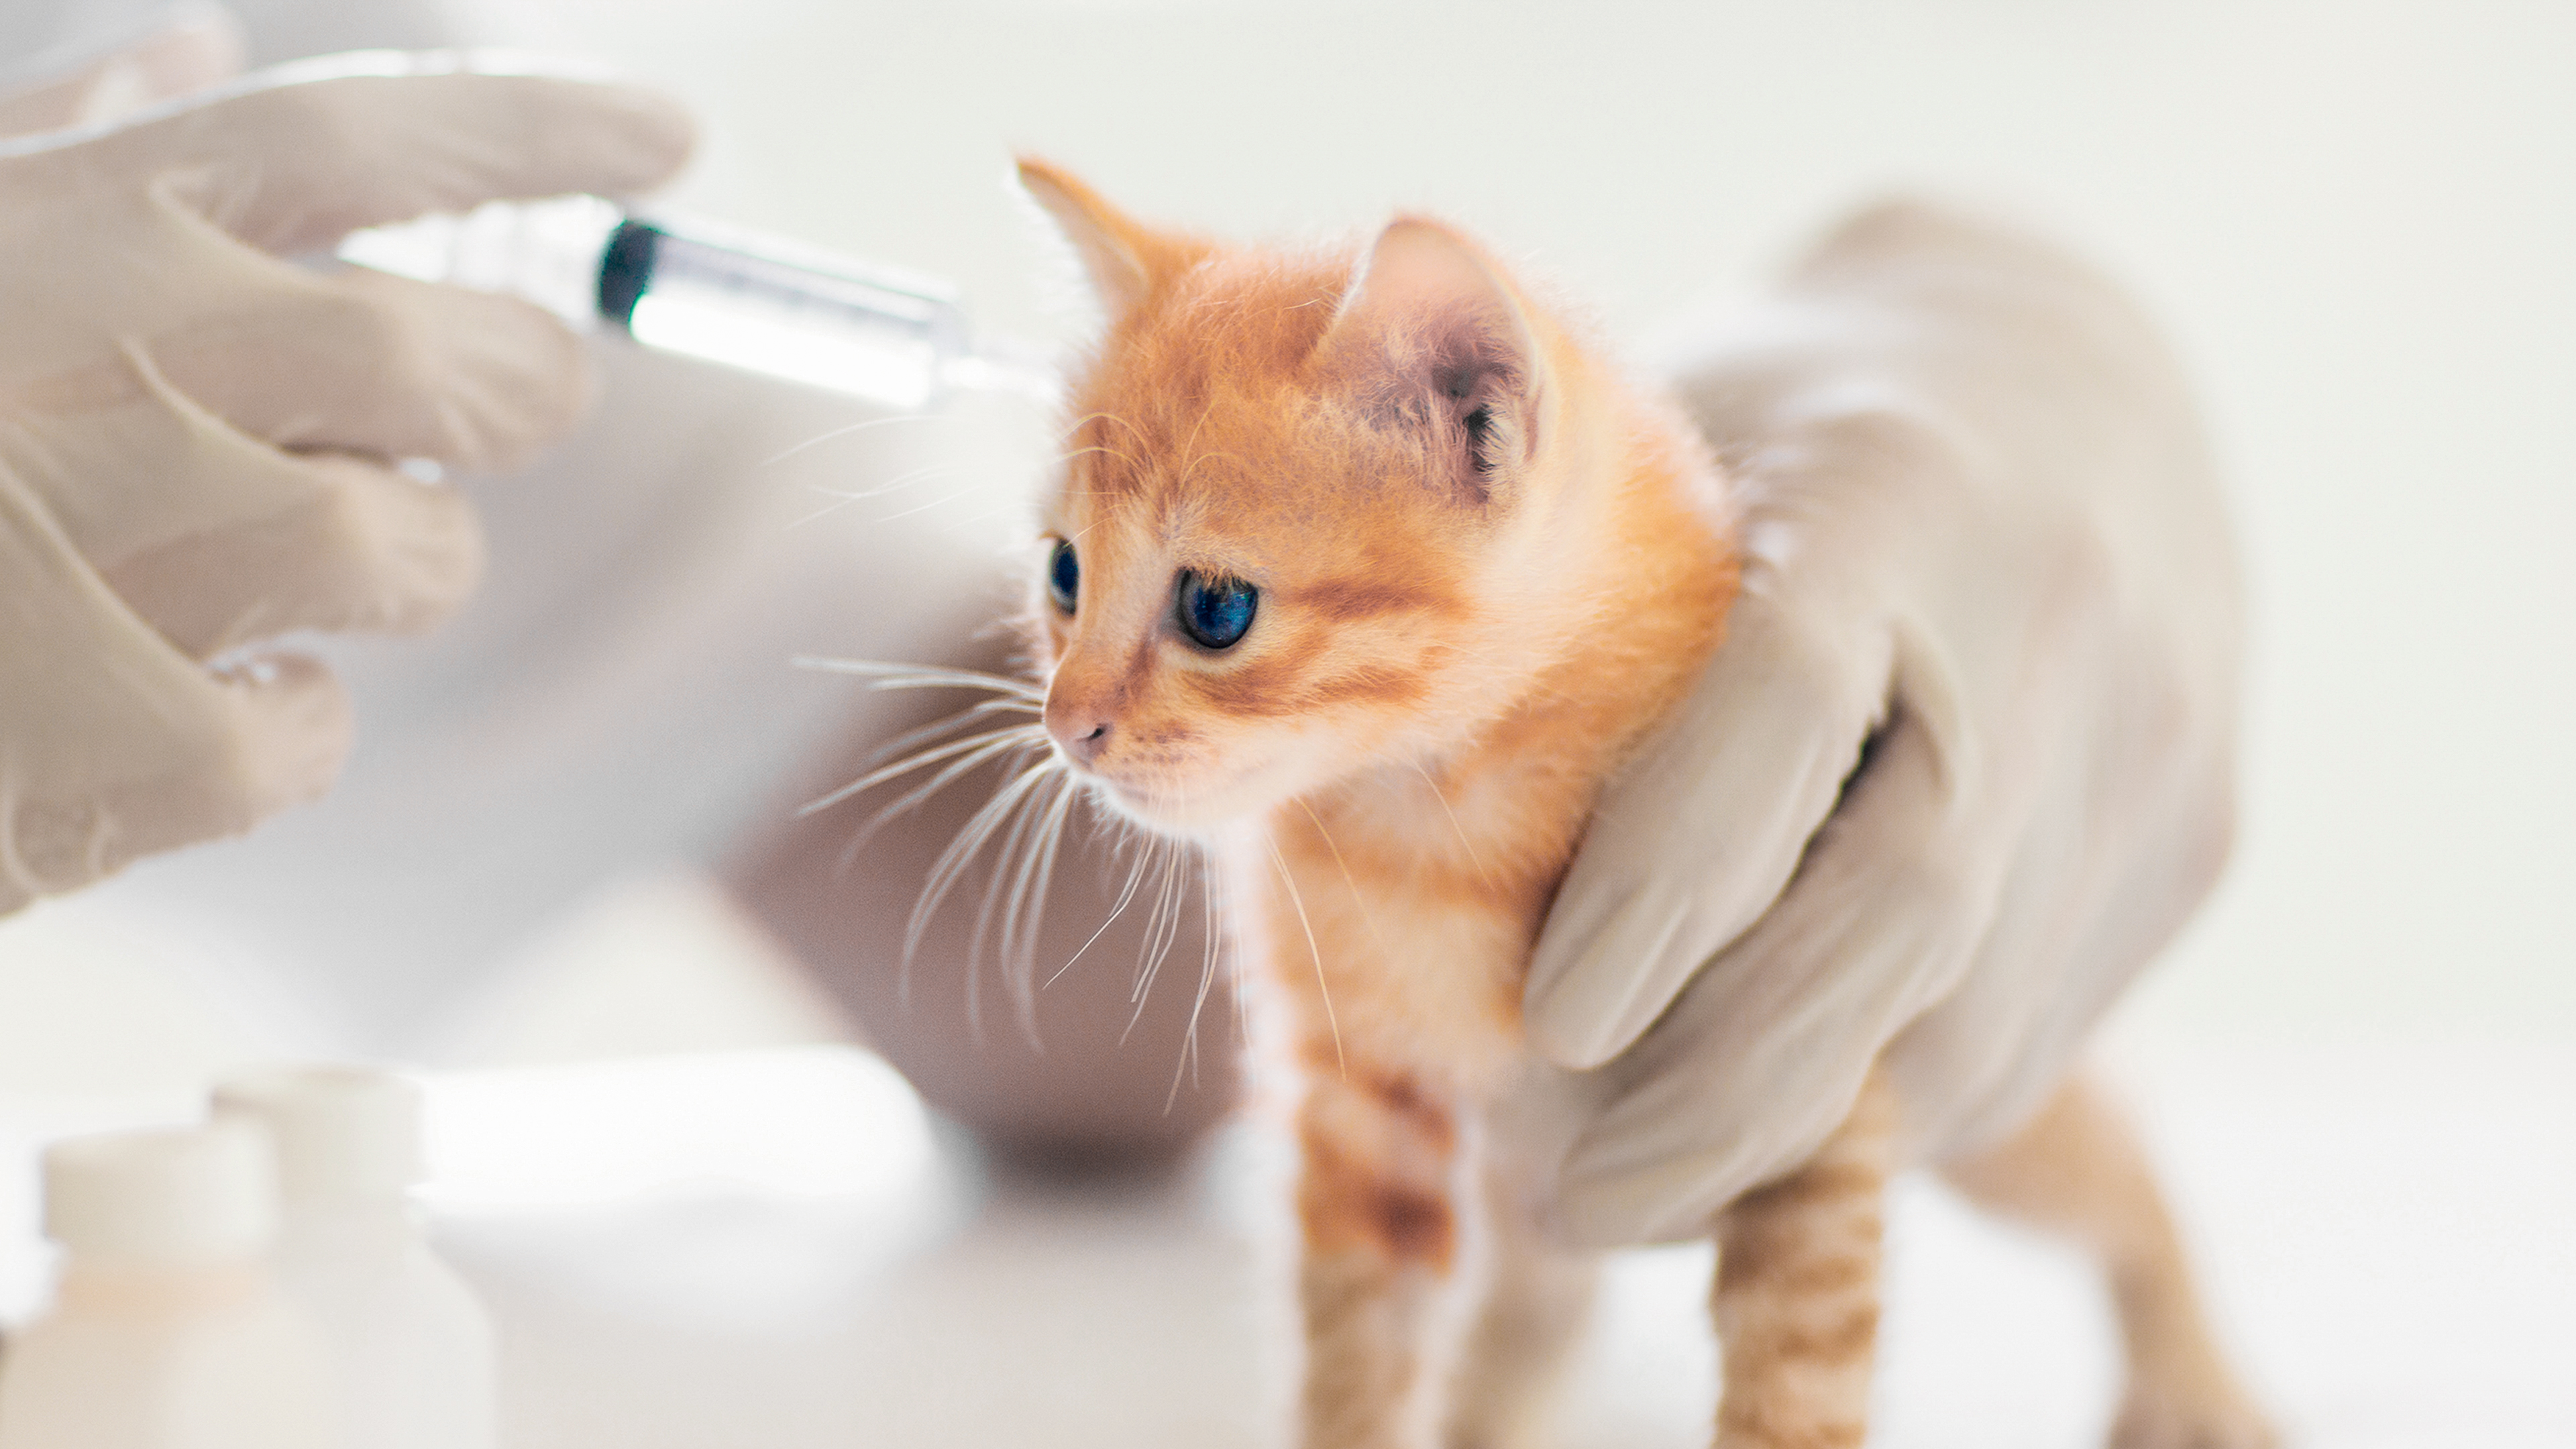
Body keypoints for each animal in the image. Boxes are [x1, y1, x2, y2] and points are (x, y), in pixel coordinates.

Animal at [1004, 158, 2277, 1444]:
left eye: (1214, 608)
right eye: (1064, 573)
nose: (1068, 726)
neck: (1435, 824)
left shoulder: (1795, 1093)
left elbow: (1794, 1395)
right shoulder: (1364, 1109)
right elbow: (1361, 1363)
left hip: (1984, 1096)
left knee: (2129, 1181)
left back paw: (2200, 1382)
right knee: (1541, 1312)